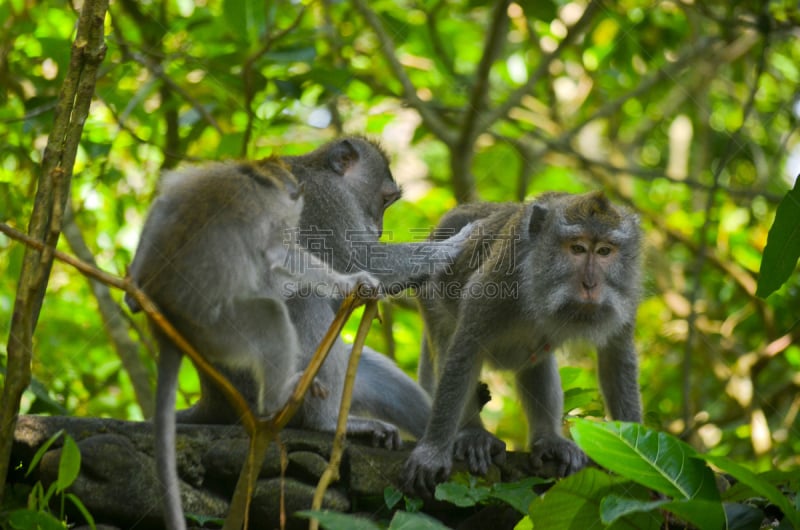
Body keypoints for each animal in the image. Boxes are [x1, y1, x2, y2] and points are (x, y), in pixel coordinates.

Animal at [406, 191, 644, 496]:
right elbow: (465, 350)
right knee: (448, 342)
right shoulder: (498, 279)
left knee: (537, 362)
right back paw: (473, 434)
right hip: (430, 294)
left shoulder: (626, 296)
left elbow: (616, 358)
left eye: (604, 251)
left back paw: (548, 439)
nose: (590, 285)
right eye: (577, 248)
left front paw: (636, 467)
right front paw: (433, 452)